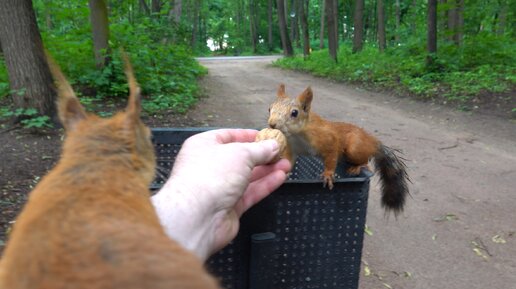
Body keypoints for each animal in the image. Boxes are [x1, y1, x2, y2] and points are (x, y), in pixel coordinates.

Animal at [268, 83, 410, 214]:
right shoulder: (292, 148)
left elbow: (331, 157)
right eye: (269, 108)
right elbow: (288, 161)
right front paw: (285, 174)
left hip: (355, 148)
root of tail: (372, 141)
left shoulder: (329, 140)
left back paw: (357, 167)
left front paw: (328, 175)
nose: (272, 124)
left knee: (366, 161)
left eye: (294, 113)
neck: (296, 135)